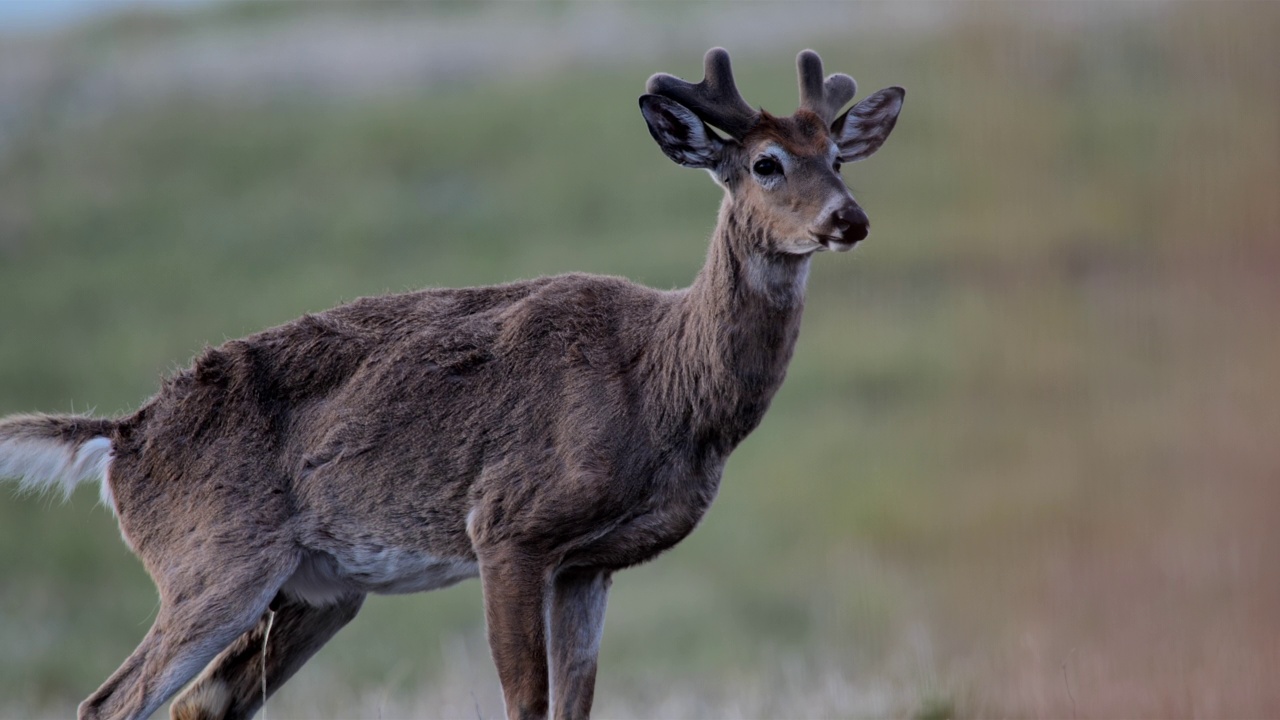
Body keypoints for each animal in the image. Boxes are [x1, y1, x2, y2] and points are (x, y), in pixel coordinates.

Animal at [0, 47, 901, 712]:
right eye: (766, 163)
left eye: (837, 156)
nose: (849, 219)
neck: (665, 388)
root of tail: (121, 438)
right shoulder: (506, 524)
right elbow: (525, 703)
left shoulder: (589, 564)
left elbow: (576, 705)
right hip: (212, 560)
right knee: (108, 703)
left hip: (316, 591)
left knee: (205, 702)